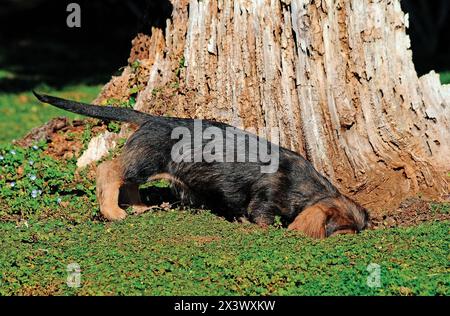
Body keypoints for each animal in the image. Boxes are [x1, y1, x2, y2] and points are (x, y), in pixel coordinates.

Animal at [33, 90, 368, 237]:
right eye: (340, 234)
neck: (302, 185)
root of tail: (153, 119)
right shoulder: (263, 203)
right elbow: (261, 220)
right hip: (146, 162)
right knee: (109, 170)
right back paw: (112, 211)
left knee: (128, 183)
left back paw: (138, 208)